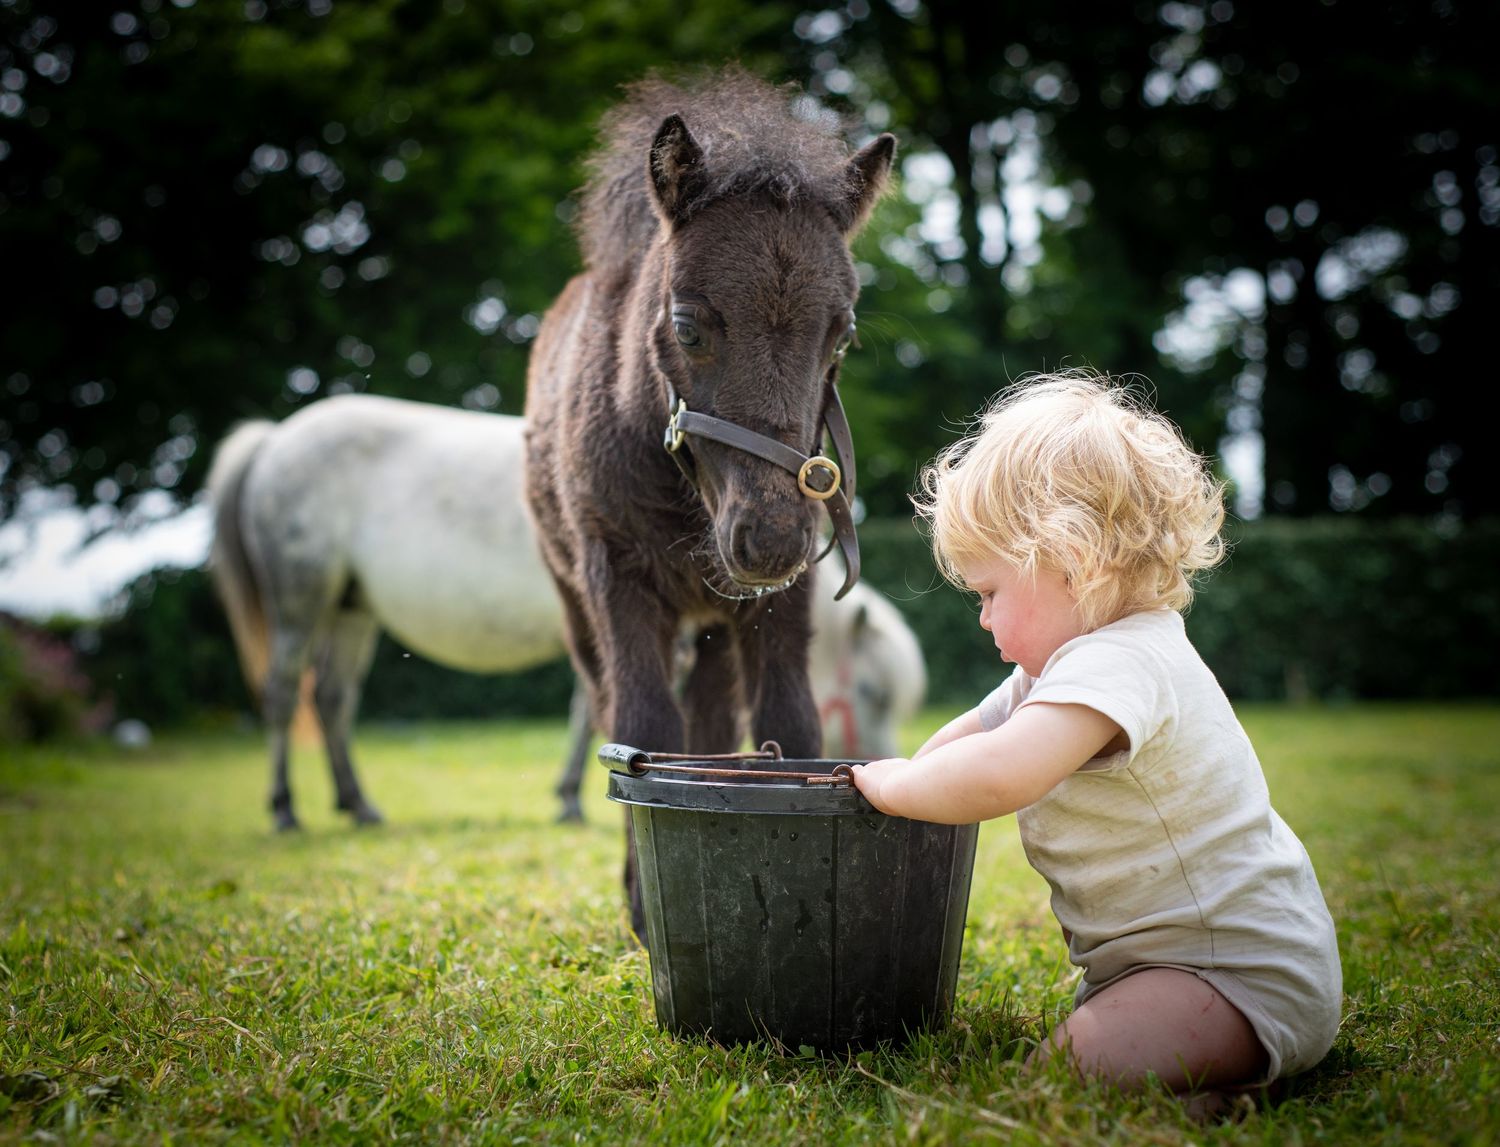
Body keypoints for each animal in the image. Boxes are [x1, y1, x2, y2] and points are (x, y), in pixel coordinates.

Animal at [205, 394, 924, 828]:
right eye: (869, 692)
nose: (885, 762)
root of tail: (275, 439)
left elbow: (591, 707)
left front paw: (569, 794)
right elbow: (602, 706)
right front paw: (577, 796)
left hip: (350, 611)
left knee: (330, 699)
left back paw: (358, 805)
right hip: (301, 602)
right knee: (282, 694)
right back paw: (285, 809)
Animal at [522, 70, 895, 928]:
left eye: (843, 334)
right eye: (689, 326)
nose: (773, 537)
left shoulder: (780, 598)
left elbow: (789, 725)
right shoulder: (616, 575)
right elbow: (639, 726)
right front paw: (640, 902)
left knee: (713, 714)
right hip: (574, 601)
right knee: (616, 702)